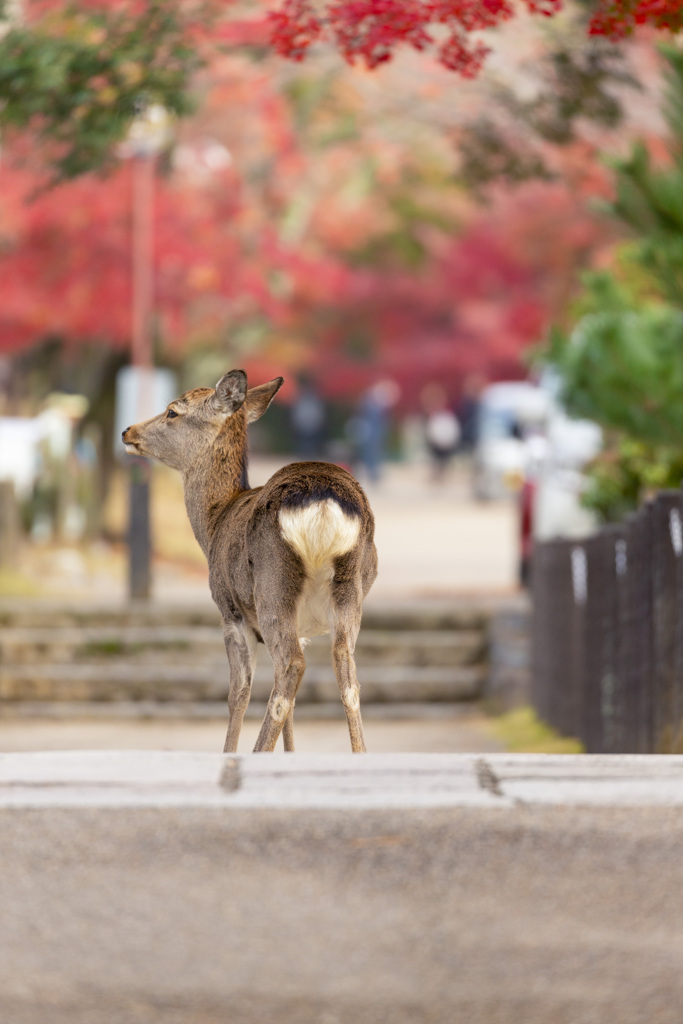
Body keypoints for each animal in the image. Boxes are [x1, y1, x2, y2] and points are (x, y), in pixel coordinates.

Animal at [122, 372, 378, 757]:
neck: (214, 522)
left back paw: (258, 753)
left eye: (172, 411)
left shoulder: (230, 613)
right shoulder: (303, 627)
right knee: (347, 676)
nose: (127, 431)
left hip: (272, 584)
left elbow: (237, 694)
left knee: (291, 668)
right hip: (350, 589)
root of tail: (323, 502)